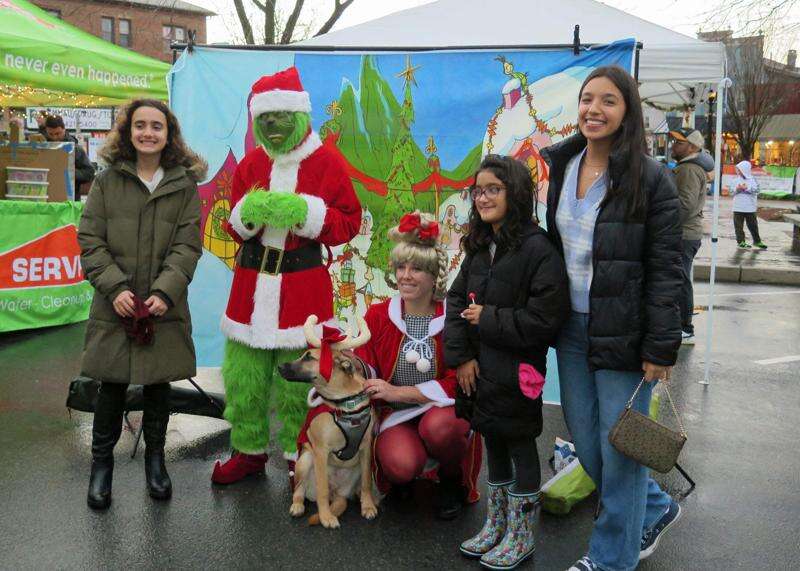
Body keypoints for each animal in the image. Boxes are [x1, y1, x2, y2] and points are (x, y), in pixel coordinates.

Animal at [280, 316, 380, 528]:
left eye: (309, 357)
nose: (279, 367)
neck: (345, 403)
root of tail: (338, 493)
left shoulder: (367, 447)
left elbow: (367, 482)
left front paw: (367, 506)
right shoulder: (320, 450)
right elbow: (322, 490)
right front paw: (326, 517)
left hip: (355, 468)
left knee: (357, 486)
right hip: (305, 460)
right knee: (299, 490)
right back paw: (298, 506)